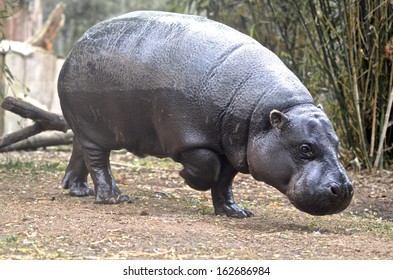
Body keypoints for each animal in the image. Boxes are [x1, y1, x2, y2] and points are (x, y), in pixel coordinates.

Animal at [57, 10, 352, 218]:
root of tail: (73, 49)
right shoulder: (189, 139)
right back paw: (114, 197)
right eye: (304, 148)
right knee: (98, 160)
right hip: (95, 130)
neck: (264, 112)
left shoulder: (233, 149)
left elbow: (224, 181)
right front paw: (185, 177)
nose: (345, 189)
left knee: (79, 151)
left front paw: (235, 212)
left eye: (338, 144)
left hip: (85, 127)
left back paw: (77, 190)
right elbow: (208, 167)